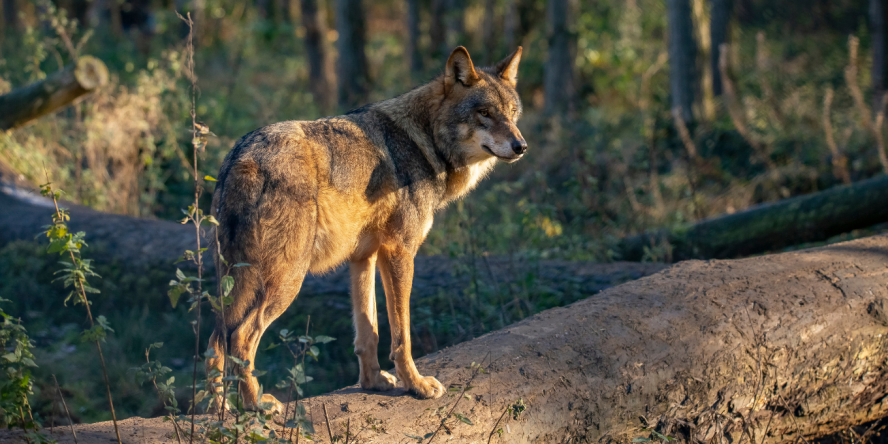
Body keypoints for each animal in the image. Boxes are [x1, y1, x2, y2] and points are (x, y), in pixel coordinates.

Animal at [206, 46, 527, 412]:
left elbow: (368, 330)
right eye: (485, 113)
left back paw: (217, 411)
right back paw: (255, 405)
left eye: (512, 113)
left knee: (215, 342)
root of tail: (240, 155)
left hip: (237, 283)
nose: (521, 146)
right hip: (285, 281)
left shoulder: (364, 257)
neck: (424, 141)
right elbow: (402, 333)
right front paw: (416, 385)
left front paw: (373, 383)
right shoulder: (399, 252)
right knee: (240, 337)